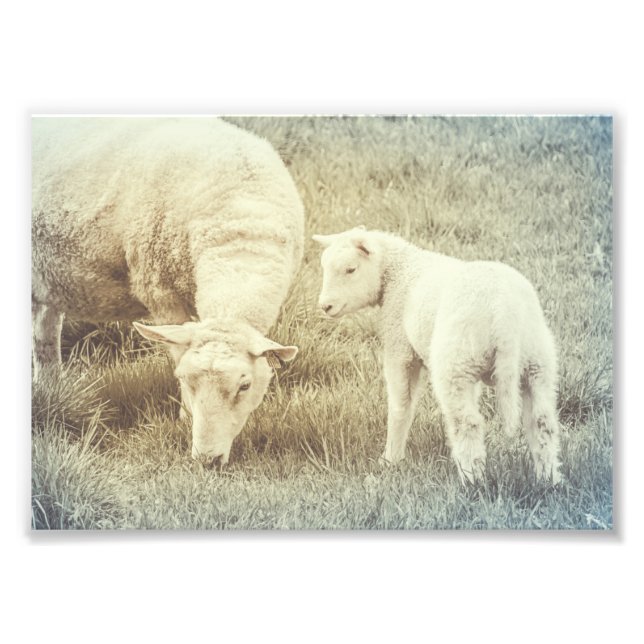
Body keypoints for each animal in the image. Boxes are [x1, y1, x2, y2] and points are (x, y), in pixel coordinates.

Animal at [32, 117, 304, 466]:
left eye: (244, 386)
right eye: (184, 380)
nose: (207, 460)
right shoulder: (160, 291)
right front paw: (185, 416)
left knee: (44, 331)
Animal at [313, 226, 561, 484]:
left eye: (351, 269)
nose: (325, 306)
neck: (399, 271)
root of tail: (504, 314)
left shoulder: (400, 346)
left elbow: (401, 407)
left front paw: (391, 459)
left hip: (455, 362)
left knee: (467, 423)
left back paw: (472, 480)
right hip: (535, 361)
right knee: (542, 422)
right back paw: (548, 479)